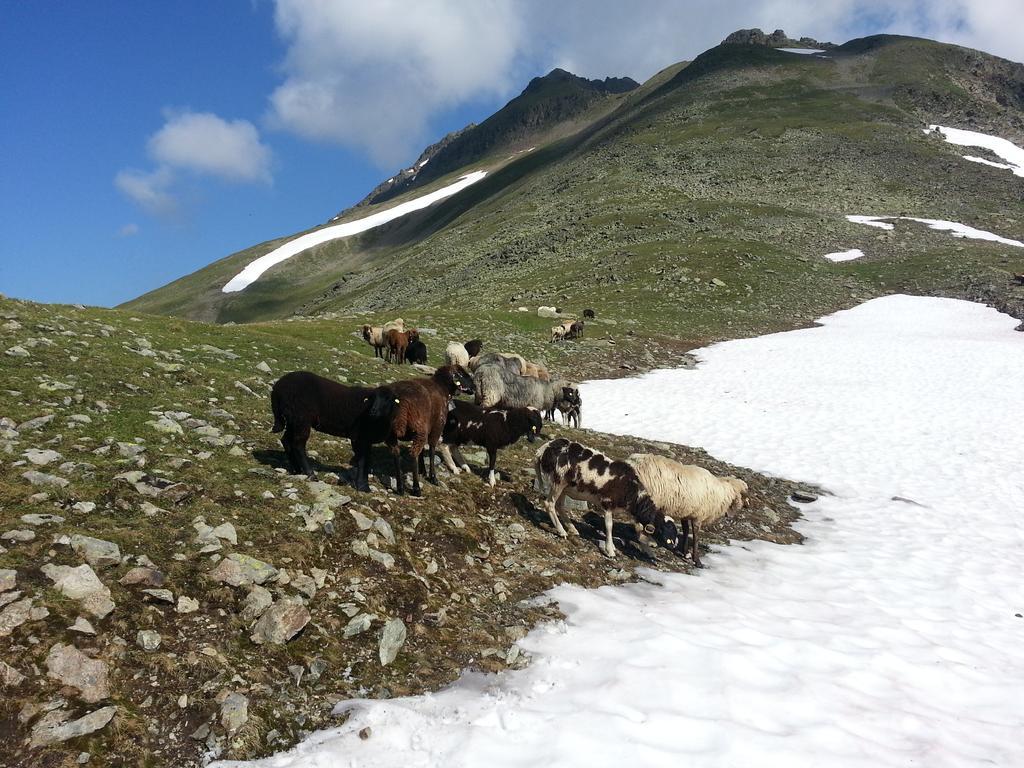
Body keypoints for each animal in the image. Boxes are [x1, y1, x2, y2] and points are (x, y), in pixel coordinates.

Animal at [374, 368, 473, 499]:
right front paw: (432, 477)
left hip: (393, 434)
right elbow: (431, 449)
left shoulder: (426, 428)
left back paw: (400, 488)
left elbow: (422, 452)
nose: (473, 388)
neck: (442, 387)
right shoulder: (436, 427)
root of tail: (399, 402)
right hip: (419, 428)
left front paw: (423, 471)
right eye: (464, 374)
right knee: (413, 454)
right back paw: (416, 488)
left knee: (396, 454)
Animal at [532, 438, 675, 561]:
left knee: (559, 506)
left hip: (566, 486)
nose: (655, 546)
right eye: (663, 531)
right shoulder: (607, 503)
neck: (632, 492)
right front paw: (610, 550)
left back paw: (572, 529)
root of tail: (543, 449)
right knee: (549, 503)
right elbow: (609, 526)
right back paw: (562, 532)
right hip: (558, 480)